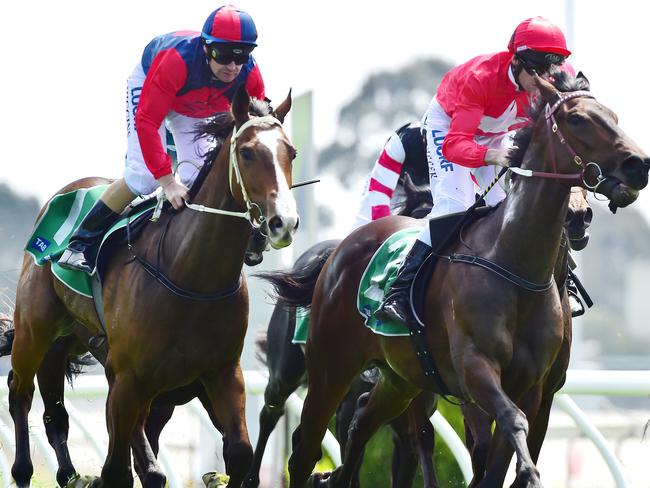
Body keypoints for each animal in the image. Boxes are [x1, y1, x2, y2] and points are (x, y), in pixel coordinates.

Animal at [8, 86, 298, 488]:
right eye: (247, 152)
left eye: (291, 152)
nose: (282, 222)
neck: (192, 275)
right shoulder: (130, 377)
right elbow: (117, 470)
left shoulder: (221, 373)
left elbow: (239, 453)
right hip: (36, 332)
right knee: (20, 392)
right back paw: (24, 470)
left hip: (70, 345)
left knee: (56, 414)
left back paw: (72, 474)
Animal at [260, 73, 644, 488]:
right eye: (578, 120)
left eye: (614, 116)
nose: (638, 165)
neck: (516, 266)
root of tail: (337, 254)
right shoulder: (473, 371)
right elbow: (498, 431)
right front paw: (527, 471)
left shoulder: (536, 388)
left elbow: (500, 457)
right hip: (329, 367)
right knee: (303, 442)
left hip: (400, 378)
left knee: (363, 423)